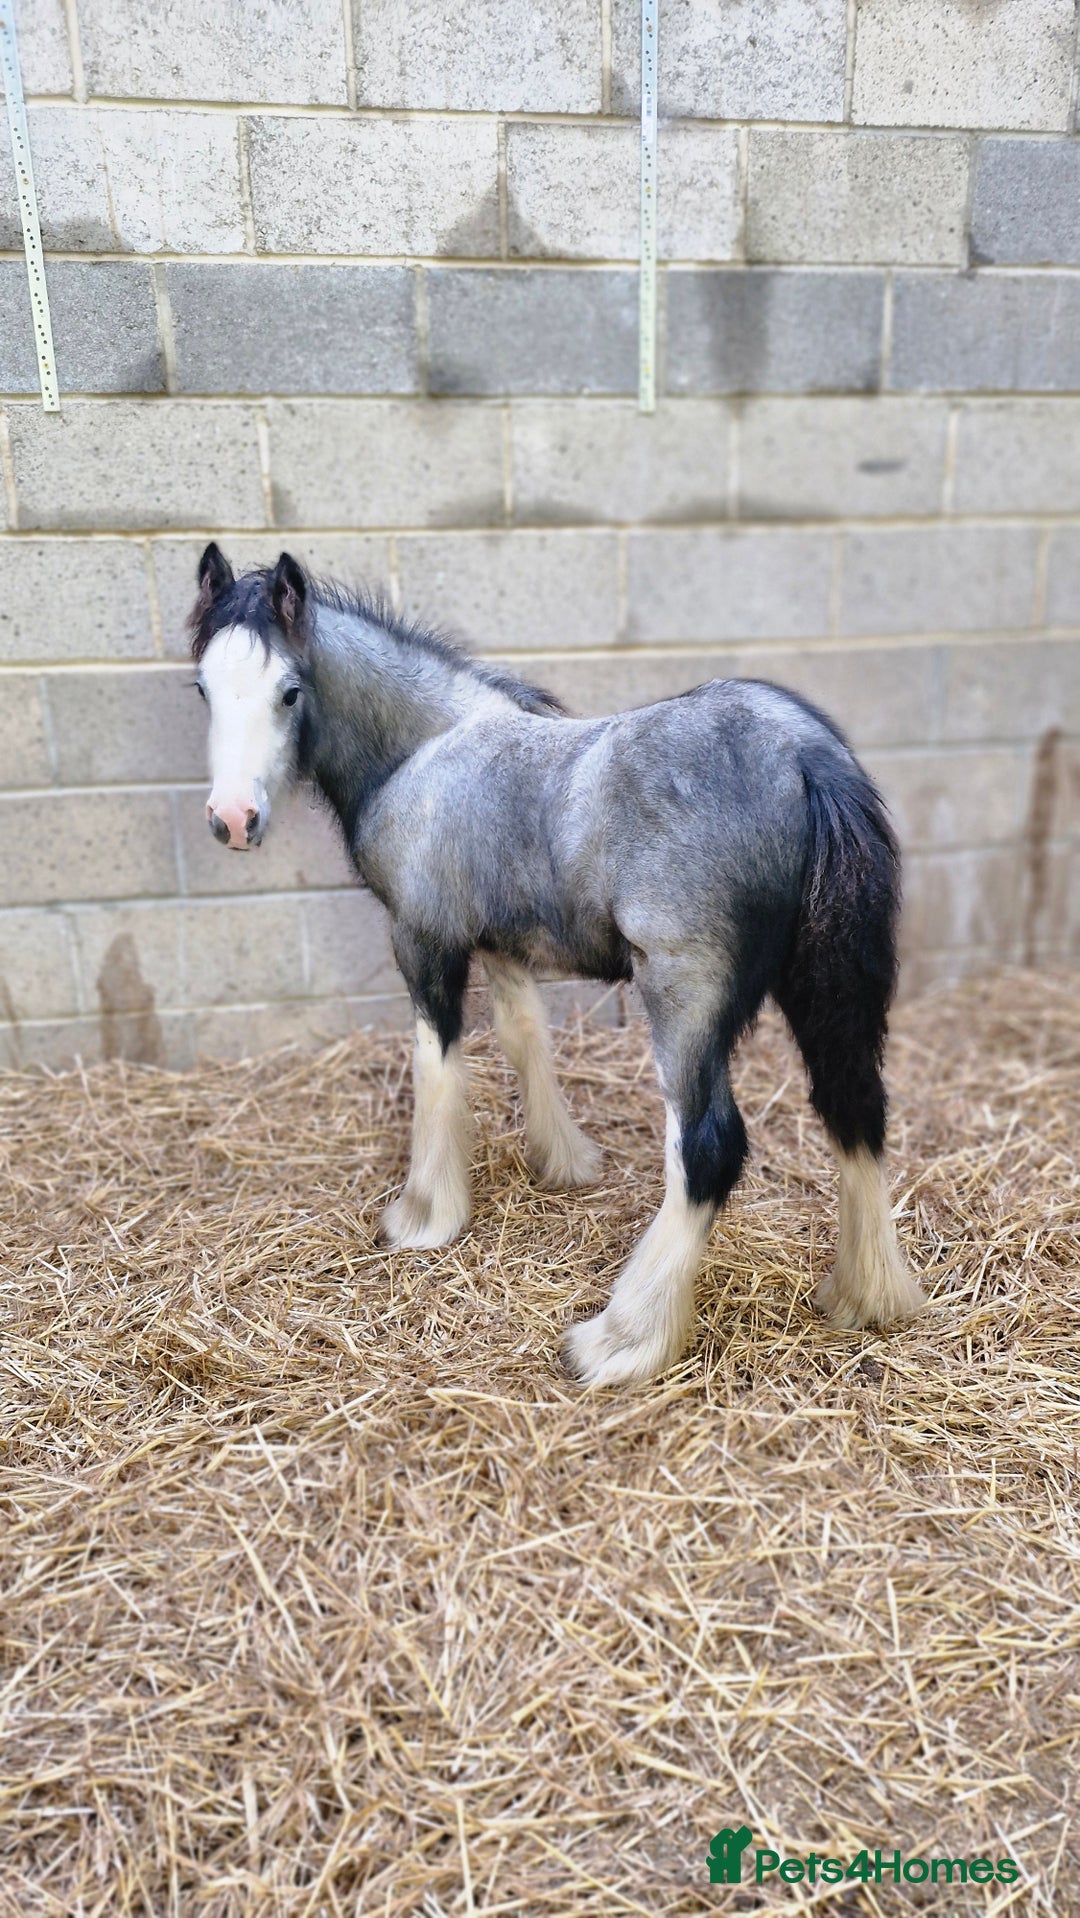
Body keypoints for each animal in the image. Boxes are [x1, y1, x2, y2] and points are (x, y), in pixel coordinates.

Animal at [190, 543, 925, 1386]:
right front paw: (563, 1161)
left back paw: (622, 1339)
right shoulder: (505, 944)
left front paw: (424, 1216)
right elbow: (523, 1037)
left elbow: (436, 1063)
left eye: (289, 690)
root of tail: (807, 759)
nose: (233, 820)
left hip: (684, 993)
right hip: (821, 986)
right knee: (854, 1106)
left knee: (707, 1147)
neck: (425, 749)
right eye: (203, 686)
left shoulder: (423, 938)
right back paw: (866, 1296)